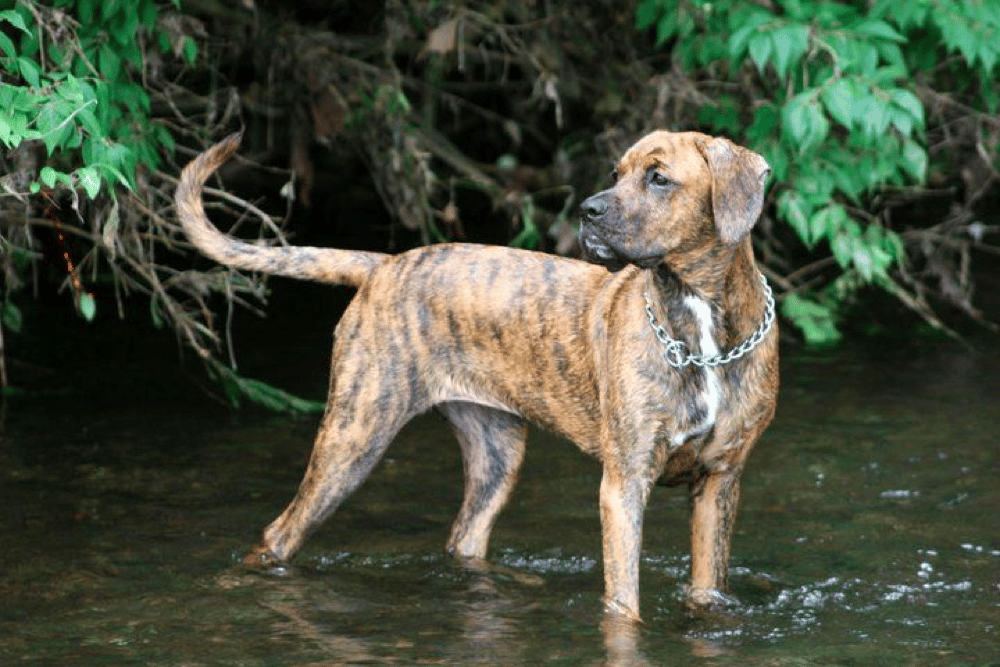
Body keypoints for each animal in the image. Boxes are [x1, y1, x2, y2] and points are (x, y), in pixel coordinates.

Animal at [176, 129, 776, 620]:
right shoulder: (625, 484)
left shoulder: (720, 482)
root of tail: (384, 264)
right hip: (352, 438)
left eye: (659, 177)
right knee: (278, 533)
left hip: (495, 454)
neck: (698, 325)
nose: (588, 211)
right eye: (615, 174)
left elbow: (707, 586)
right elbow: (623, 602)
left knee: (464, 538)